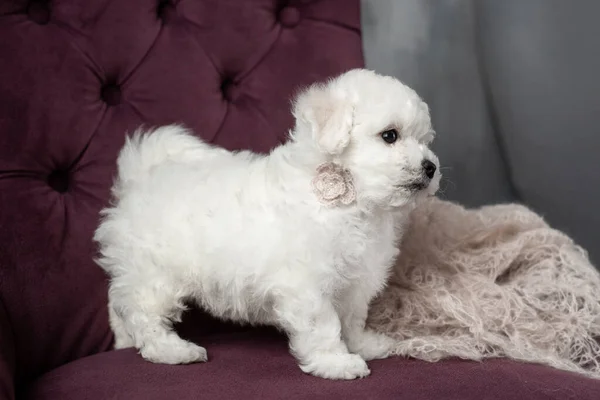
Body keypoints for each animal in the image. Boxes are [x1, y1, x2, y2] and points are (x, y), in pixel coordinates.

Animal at [94, 69, 440, 382]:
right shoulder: (308, 284)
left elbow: (352, 317)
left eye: (425, 142)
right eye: (390, 135)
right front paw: (336, 363)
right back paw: (173, 350)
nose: (431, 167)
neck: (349, 200)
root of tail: (141, 176)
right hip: (155, 274)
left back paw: (123, 341)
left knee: (117, 300)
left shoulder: (355, 281)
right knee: (142, 312)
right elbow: (324, 325)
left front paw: (363, 345)